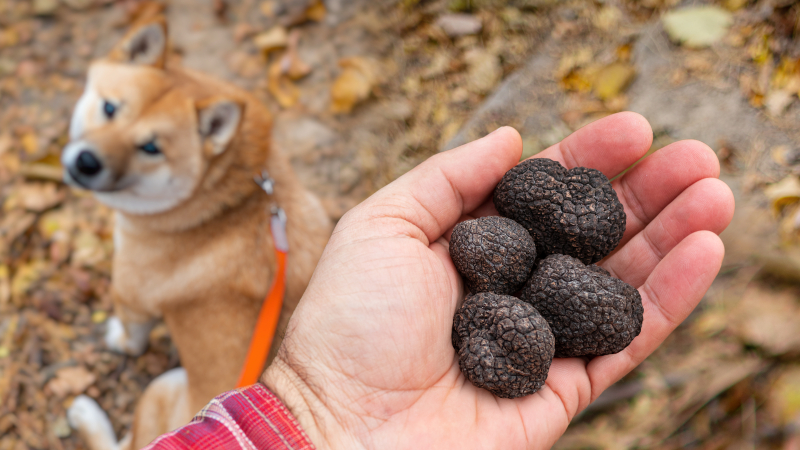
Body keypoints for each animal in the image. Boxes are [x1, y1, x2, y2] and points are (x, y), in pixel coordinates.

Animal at [61, 14, 332, 450]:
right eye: (109, 108)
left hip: (161, 389)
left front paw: (117, 339)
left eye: (151, 148)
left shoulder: (132, 299)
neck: (222, 198)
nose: (86, 162)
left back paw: (86, 415)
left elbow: (133, 337)